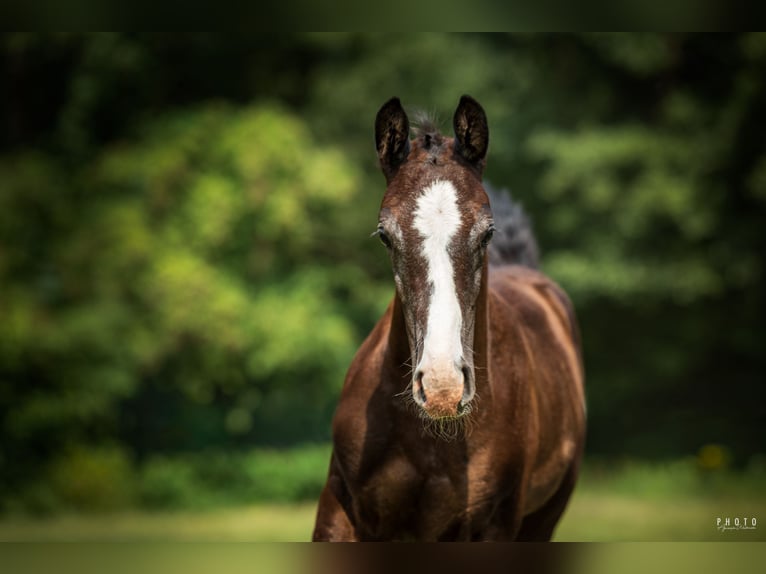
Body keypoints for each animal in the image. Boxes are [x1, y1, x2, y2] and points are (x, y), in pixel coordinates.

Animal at [312, 95, 586, 541]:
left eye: (487, 232)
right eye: (385, 234)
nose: (443, 386)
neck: (428, 440)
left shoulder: (495, 524)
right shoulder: (340, 507)